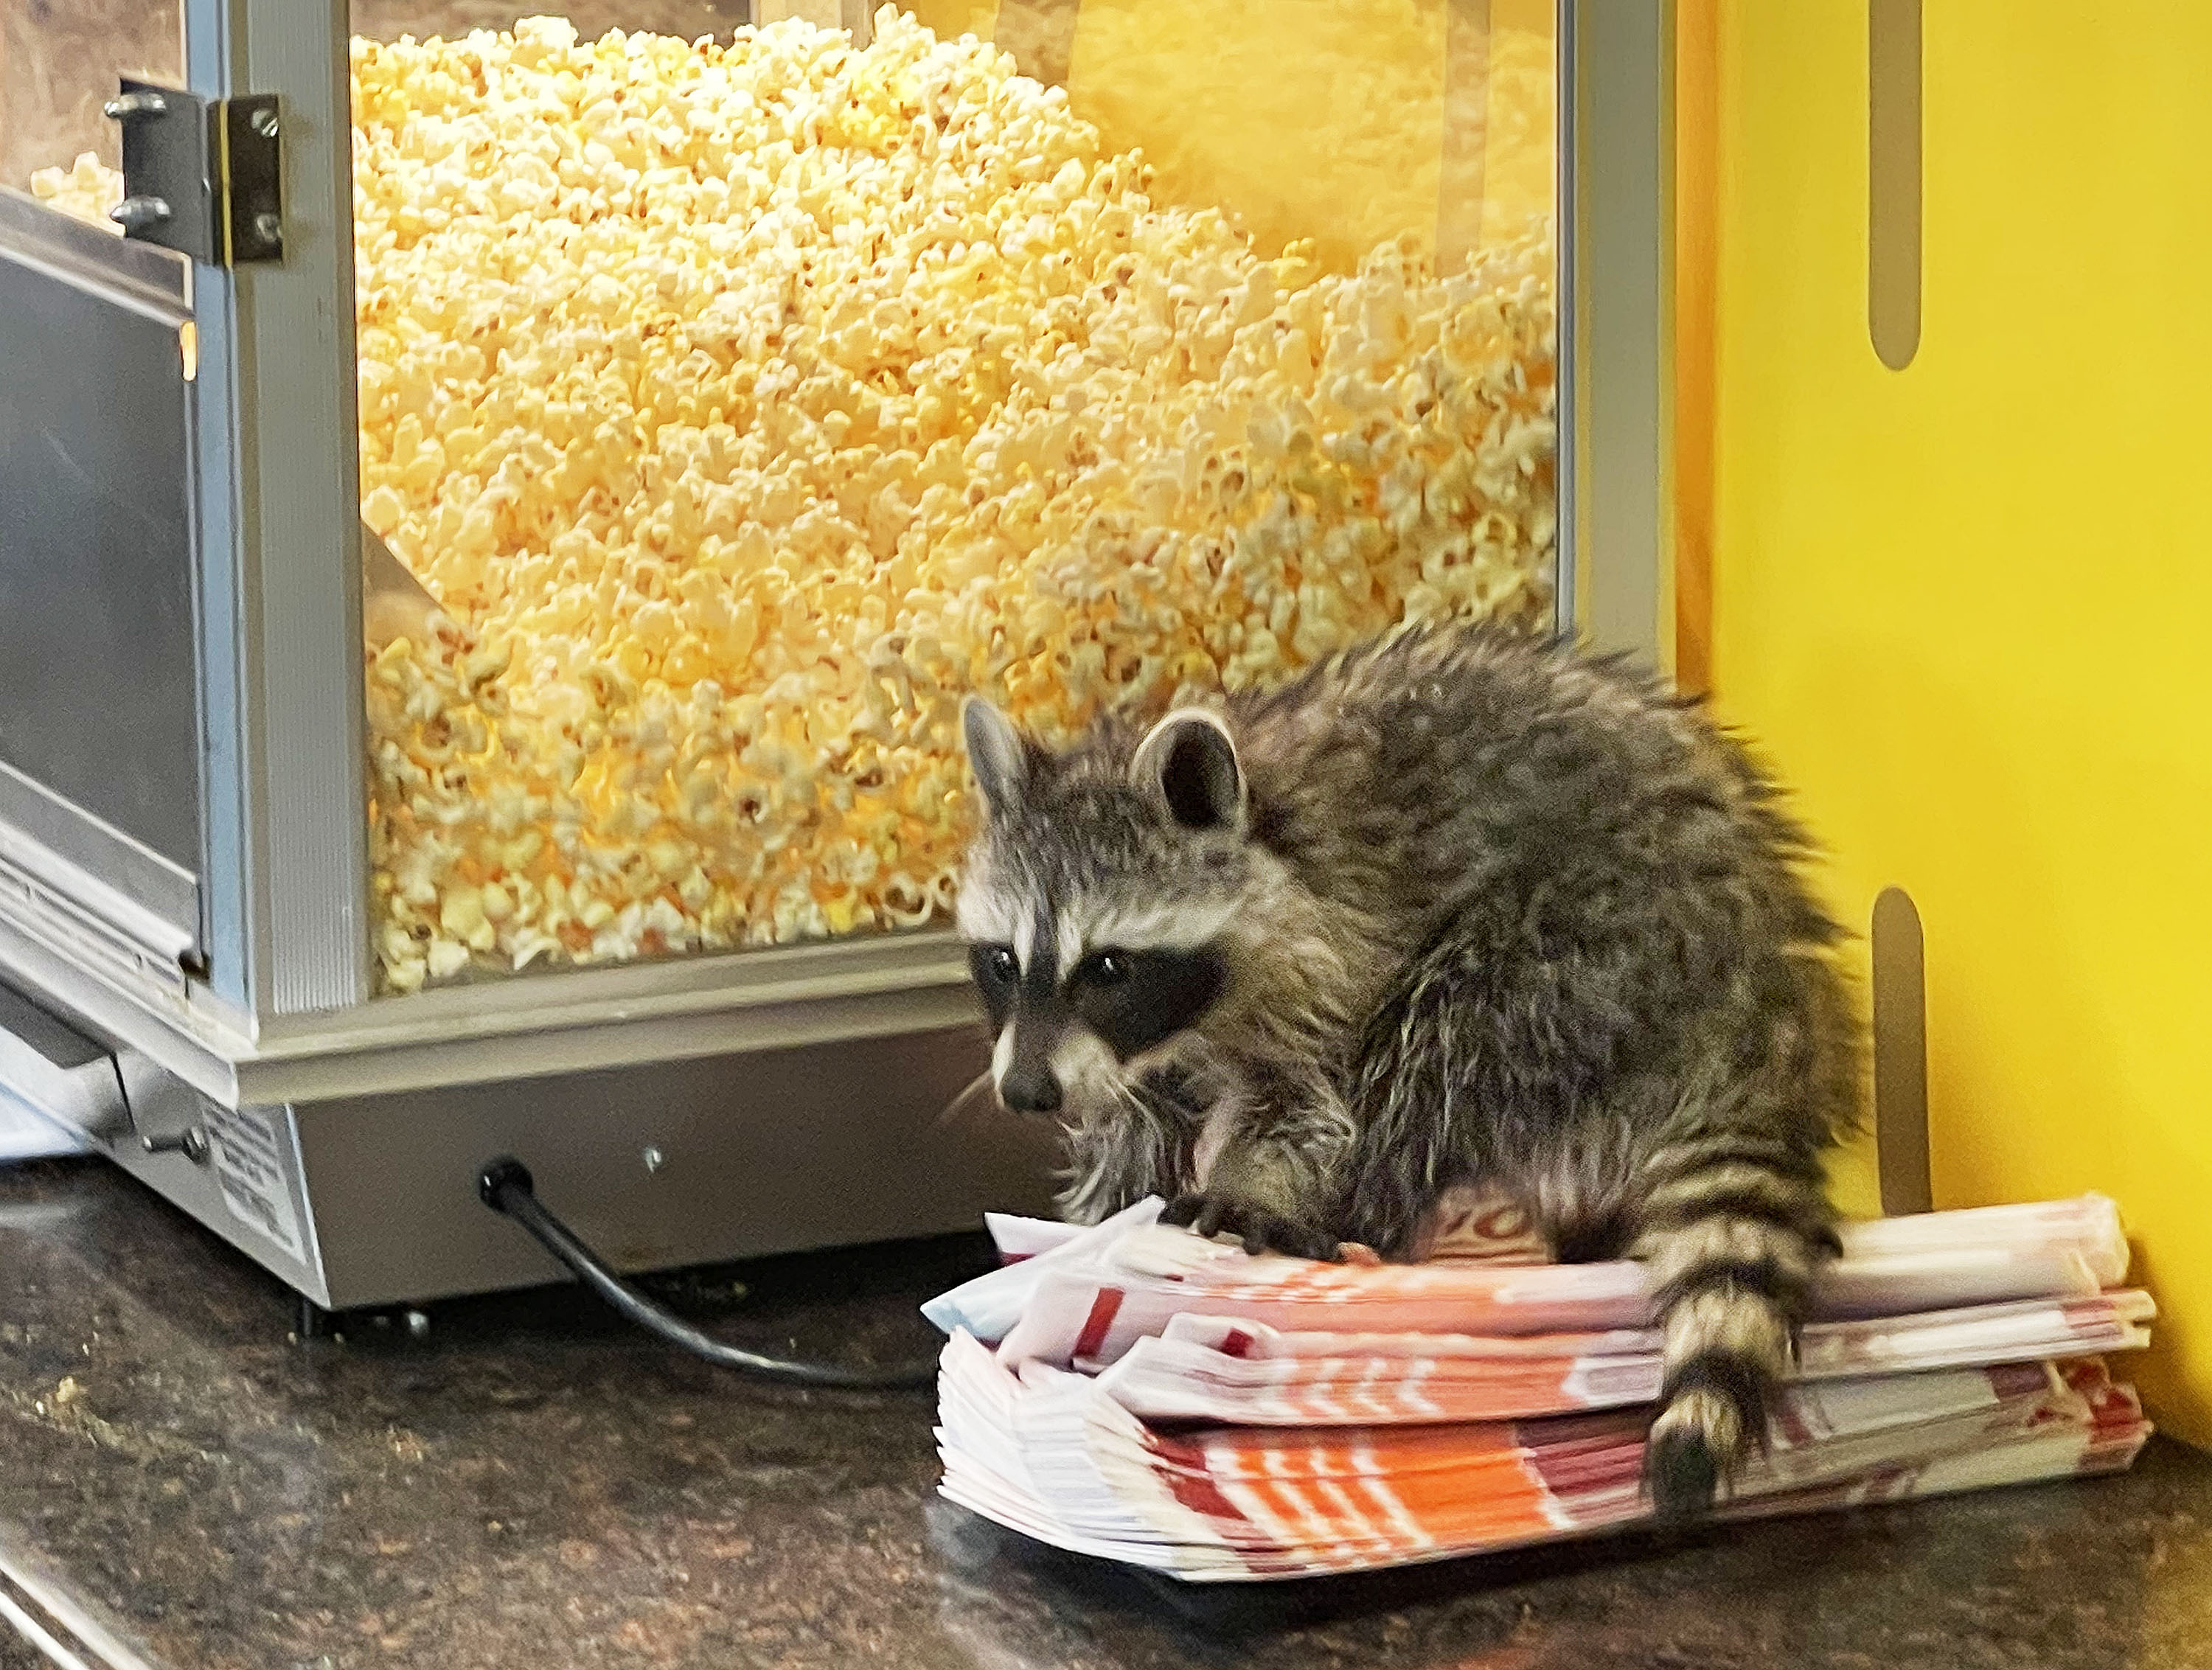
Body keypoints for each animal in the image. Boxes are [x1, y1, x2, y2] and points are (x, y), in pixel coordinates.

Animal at [955, 619, 1863, 1519]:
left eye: (1108, 967)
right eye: (1001, 961)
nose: (1026, 1093)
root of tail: (1765, 1009)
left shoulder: (1333, 947)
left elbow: (1311, 1102)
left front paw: (1258, 1188)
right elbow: (1135, 1126)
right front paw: (1096, 1224)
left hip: (1601, 949)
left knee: (1435, 1043)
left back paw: (1369, 1209)